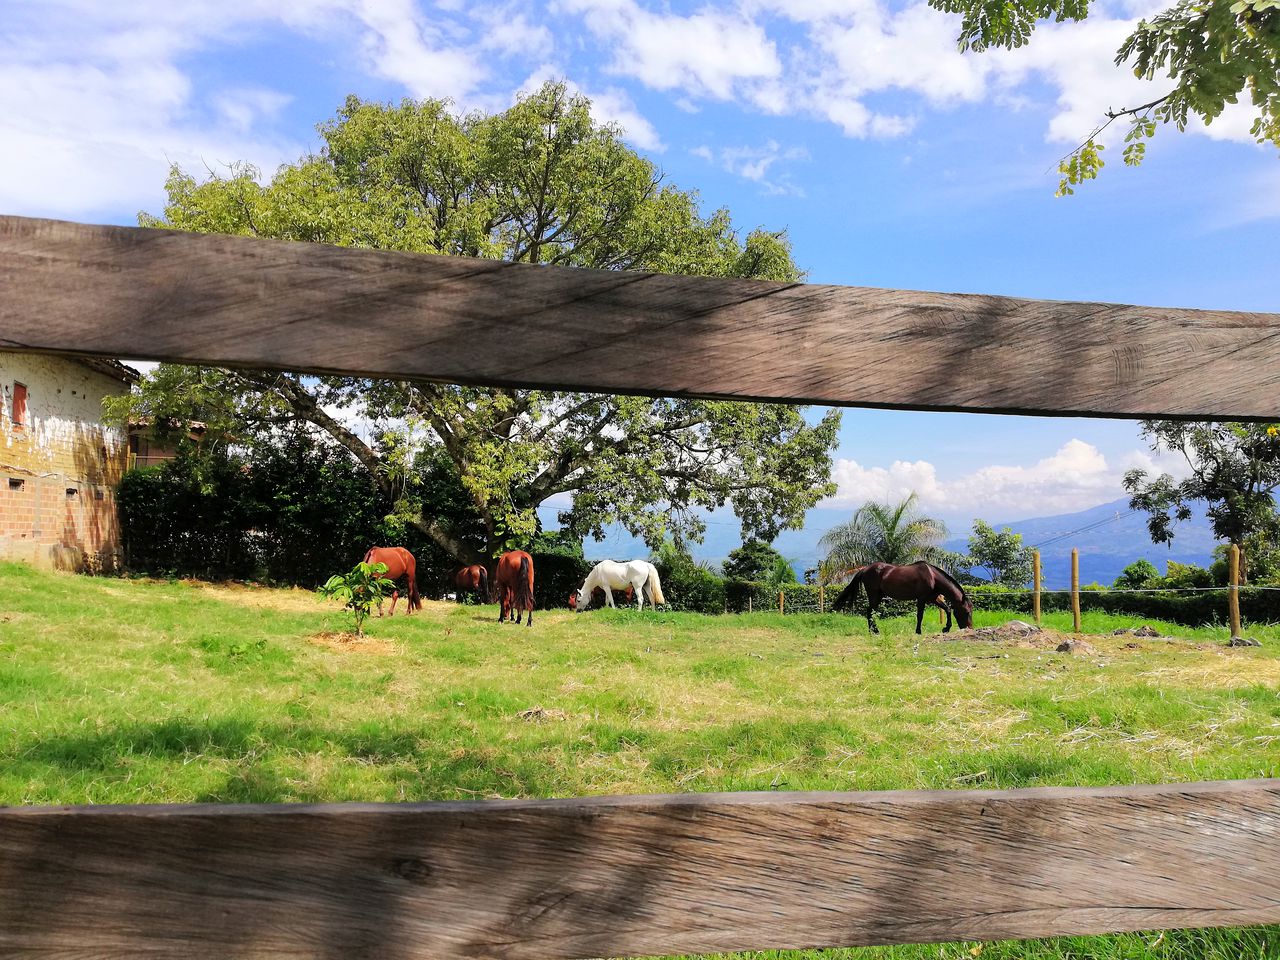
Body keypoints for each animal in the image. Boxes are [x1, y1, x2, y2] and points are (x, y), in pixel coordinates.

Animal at [829, 560, 967, 634]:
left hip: (878, 596)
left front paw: (946, 628)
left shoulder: (933, 598)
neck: (932, 577)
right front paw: (918, 631)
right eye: (966, 611)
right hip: (874, 595)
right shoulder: (921, 599)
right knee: (869, 611)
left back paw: (873, 631)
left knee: (871, 611)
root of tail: (865, 569)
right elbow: (920, 616)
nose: (968, 628)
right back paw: (875, 631)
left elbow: (947, 609)